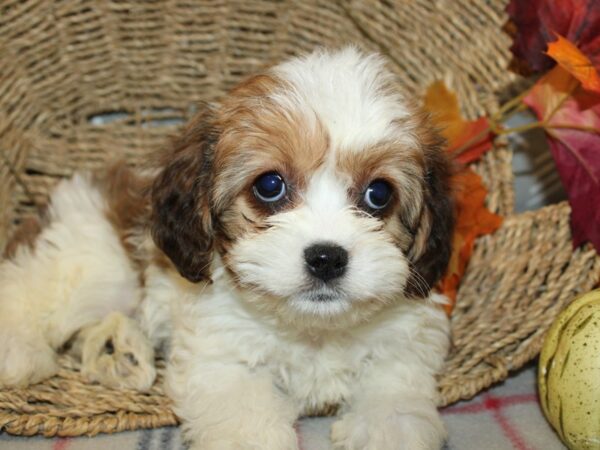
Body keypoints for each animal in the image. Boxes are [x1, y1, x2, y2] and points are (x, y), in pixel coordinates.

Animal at [0, 47, 452, 448]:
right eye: (269, 186)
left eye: (379, 194)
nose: (326, 258)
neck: (314, 329)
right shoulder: (223, 361)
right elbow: (246, 420)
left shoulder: (404, 348)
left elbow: (395, 403)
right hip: (88, 258)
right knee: (28, 287)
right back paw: (21, 353)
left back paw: (119, 353)